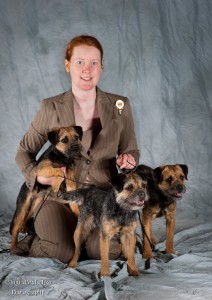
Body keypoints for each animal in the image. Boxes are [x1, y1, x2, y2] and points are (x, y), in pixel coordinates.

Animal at [10, 125, 83, 254]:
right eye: (64, 140)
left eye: (77, 137)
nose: (76, 147)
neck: (63, 159)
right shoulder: (40, 169)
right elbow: (58, 171)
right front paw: (56, 183)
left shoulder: (71, 186)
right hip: (23, 205)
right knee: (15, 229)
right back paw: (13, 248)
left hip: (37, 203)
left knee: (27, 216)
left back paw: (23, 227)